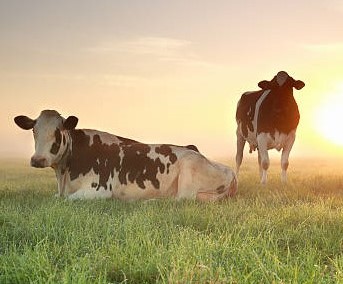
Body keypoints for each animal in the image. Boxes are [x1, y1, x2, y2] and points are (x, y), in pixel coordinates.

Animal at [14, 110, 238, 201]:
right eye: (34, 130)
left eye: (58, 132)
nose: (38, 160)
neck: (64, 176)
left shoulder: (99, 190)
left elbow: (66, 200)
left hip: (189, 170)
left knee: (181, 199)